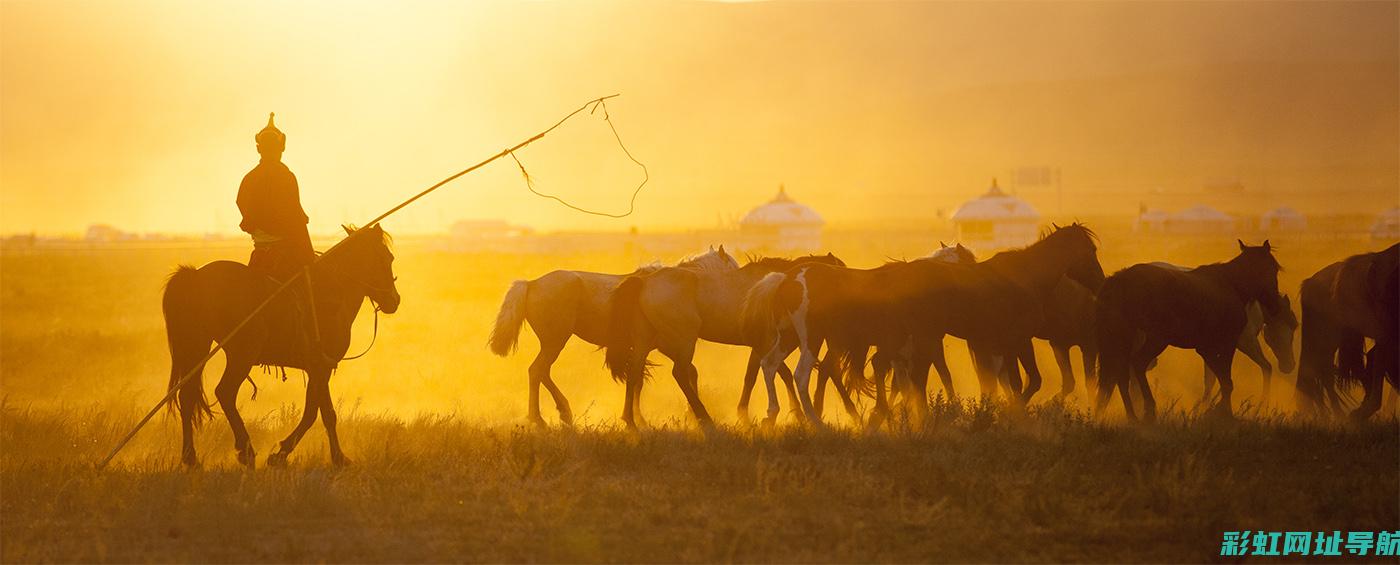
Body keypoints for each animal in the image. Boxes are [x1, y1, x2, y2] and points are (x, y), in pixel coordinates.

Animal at [168, 225, 406, 467]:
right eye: (387, 257)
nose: (394, 300)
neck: (334, 291)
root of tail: (196, 276)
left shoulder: (316, 368)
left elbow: (320, 412)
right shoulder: (321, 367)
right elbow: (319, 413)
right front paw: (290, 454)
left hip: (197, 346)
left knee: (186, 395)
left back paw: (191, 457)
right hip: (242, 352)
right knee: (224, 392)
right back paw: (246, 450)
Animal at [487, 244, 739, 425]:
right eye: (733, 269)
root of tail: (531, 284)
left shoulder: (654, 347)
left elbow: (651, 378)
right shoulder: (663, 344)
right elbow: (651, 377)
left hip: (553, 343)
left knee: (541, 372)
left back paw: (562, 412)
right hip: (555, 342)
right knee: (537, 371)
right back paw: (539, 418)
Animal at [1092, 240, 1282, 422]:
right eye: (1273, 269)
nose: (1275, 305)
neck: (1230, 285)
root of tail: (1120, 278)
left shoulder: (1207, 349)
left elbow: (1221, 381)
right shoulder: (1224, 345)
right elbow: (1226, 381)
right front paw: (1223, 412)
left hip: (1125, 338)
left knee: (1121, 375)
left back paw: (1132, 416)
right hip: (1155, 339)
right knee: (1137, 364)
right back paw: (1149, 411)